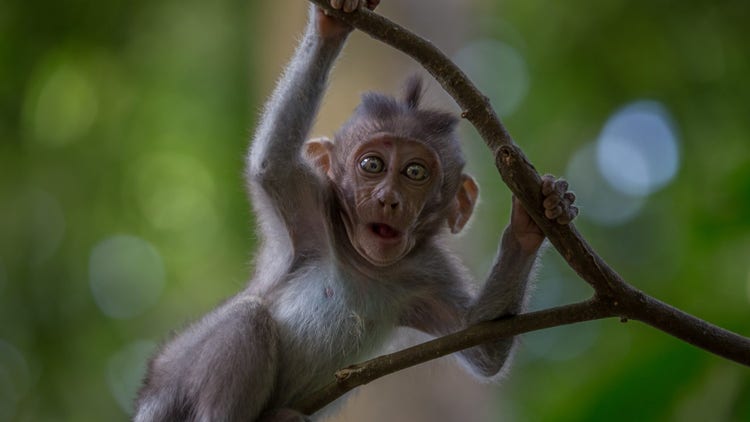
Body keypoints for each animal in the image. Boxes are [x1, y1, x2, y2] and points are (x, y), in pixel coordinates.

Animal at [134, 1, 578, 421]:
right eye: (372, 165)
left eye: (415, 172)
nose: (388, 199)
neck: (363, 262)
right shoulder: (310, 206)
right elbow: (271, 164)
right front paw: (330, 27)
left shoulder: (431, 273)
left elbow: (485, 345)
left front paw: (535, 217)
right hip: (172, 381)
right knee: (249, 317)